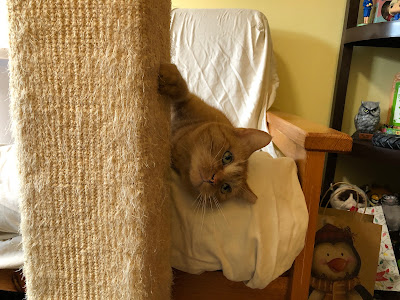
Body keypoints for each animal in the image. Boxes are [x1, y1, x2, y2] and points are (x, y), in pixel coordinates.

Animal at [159, 63, 272, 204]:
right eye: (227, 157)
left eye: (225, 187)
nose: (213, 179)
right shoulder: (190, 101)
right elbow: (183, 92)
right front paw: (170, 79)